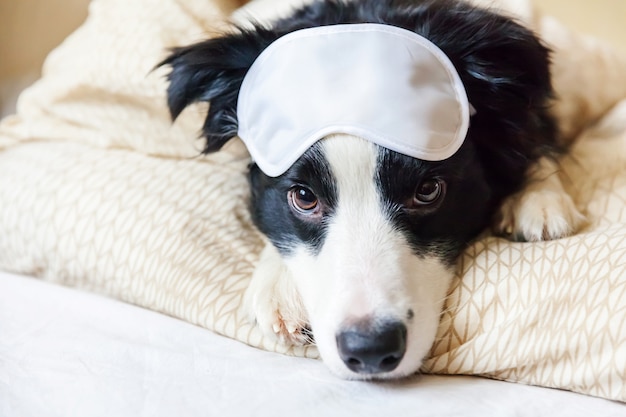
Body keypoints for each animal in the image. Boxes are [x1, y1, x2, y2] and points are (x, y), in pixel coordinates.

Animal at [160, 0, 580, 378]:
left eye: (428, 190)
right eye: (304, 197)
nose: (371, 350)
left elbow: (537, 135)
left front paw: (540, 199)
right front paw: (278, 284)